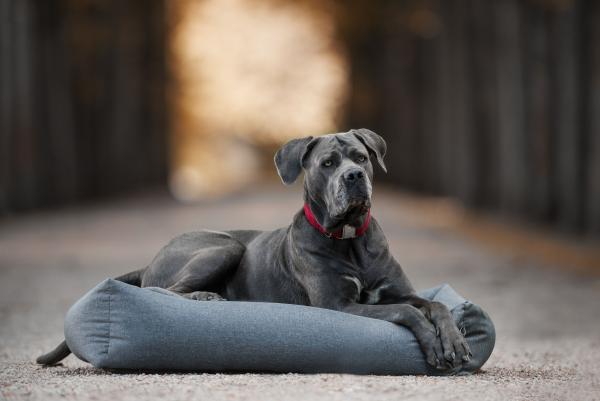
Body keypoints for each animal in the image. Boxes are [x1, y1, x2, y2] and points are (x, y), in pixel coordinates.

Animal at [37, 128, 472, 368]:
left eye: (361, 157)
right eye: (328, 163)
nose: (354, 177)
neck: (350, 240)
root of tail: (151, 259)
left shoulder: (400, 291)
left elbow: (434, 304)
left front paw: (454, 341)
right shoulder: (339, 307)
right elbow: (405, 312)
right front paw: (433, 343)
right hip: (224, 246)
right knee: (162, 290)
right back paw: (207, 298)